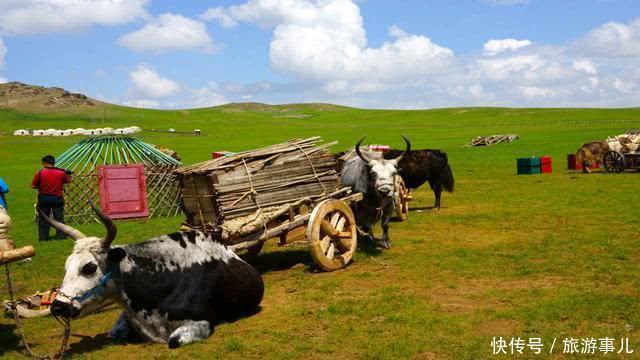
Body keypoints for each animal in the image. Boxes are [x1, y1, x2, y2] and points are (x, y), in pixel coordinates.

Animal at [43, 204, 262, 348]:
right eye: (67, 266)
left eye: (89, 267)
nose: (58, 306)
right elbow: (116, 332)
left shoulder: (202, 321)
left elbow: (173, 340)